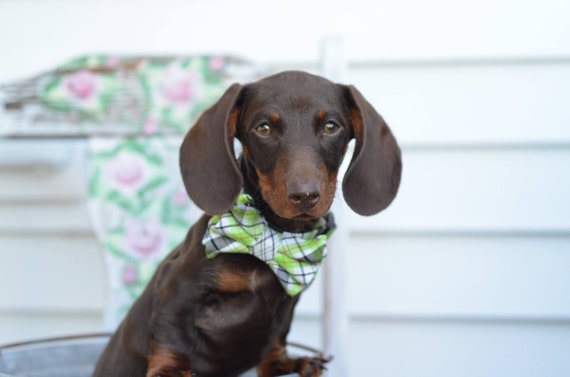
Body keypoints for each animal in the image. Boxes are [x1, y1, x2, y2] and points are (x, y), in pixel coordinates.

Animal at [92, 70, 400, 376]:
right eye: (263, 128)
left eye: (331, 126)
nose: (304, 196)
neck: (274, 235)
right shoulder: (178, 287)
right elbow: (173, 340)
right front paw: (170, 370)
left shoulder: (286, 303)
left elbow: (277, 338)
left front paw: (284, 363)